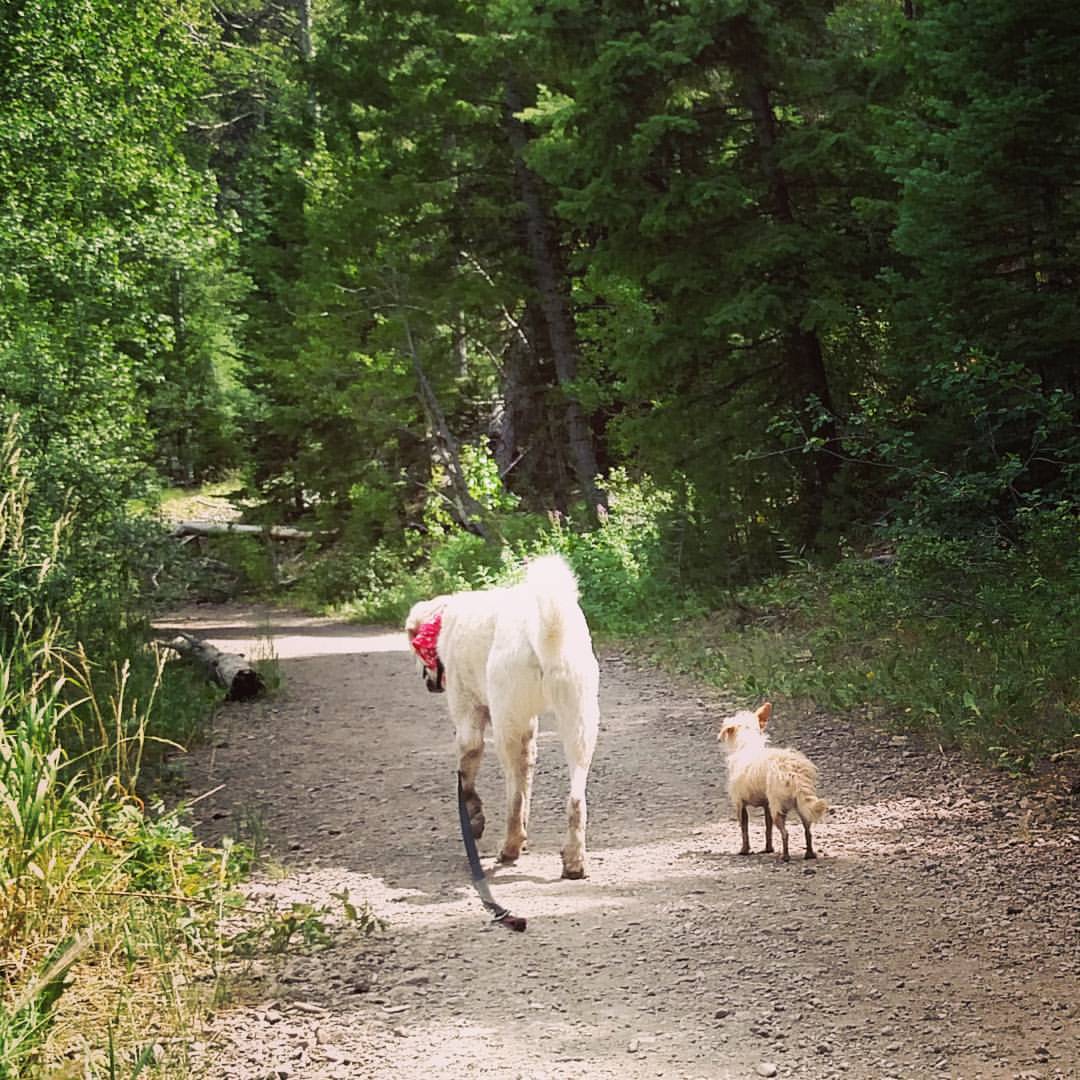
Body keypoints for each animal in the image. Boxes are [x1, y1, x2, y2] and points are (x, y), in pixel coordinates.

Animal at [405, 555, 600, 879]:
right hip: (579, 723)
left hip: (507, 726)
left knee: (514, 796)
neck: (445, 623)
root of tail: (546, 630)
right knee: (575, 798)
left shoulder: (468, 719)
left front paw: (474, 818)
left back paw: (510, 847)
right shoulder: (531, 732)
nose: (426, 682)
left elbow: (466, 778)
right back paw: (573, 859)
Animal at [717, 702, 827, 861]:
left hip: (778, 808)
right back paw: (809, 854)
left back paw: (785, 856)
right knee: (808, 830)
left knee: (785, 833)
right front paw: (768, 848)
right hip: (800, 805)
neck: (747, 745)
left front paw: (744, 850)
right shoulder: (766, 805)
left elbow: (744, 829)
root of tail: (793, 771)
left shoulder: (739, 803)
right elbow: (768, 828)